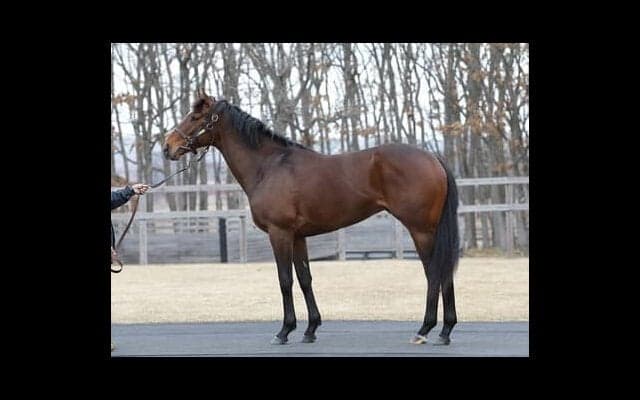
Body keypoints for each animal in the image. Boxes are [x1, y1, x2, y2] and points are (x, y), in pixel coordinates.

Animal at [162, 89, 460, 346]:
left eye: (195, 117)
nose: (167, 146)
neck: (269, 166)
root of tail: (433, 157)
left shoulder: (279, 233)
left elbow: (285, 280)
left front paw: (284, 331)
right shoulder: (298, 237)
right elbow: (305, 279)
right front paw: (310, 329)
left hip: (421, 230)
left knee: (434, 272)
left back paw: (425, 330)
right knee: (443, 272)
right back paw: (445, 331)